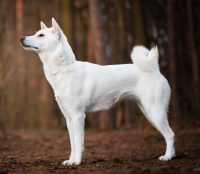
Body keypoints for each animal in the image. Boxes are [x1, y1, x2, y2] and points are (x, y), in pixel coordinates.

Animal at [20, 18, 175, 165]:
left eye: (41, 35)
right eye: (37, 33)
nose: (21, 38)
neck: (65, 69)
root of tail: (155, 69)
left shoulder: (78, 116)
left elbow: (79, 143)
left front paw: (76, 162)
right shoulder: (69, 118)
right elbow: (73, 144)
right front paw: (70, 161)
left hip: (154, 112)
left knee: (170, 135)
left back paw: (167, 157)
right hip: (148, 113)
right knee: (170, 133)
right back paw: (172, 156)